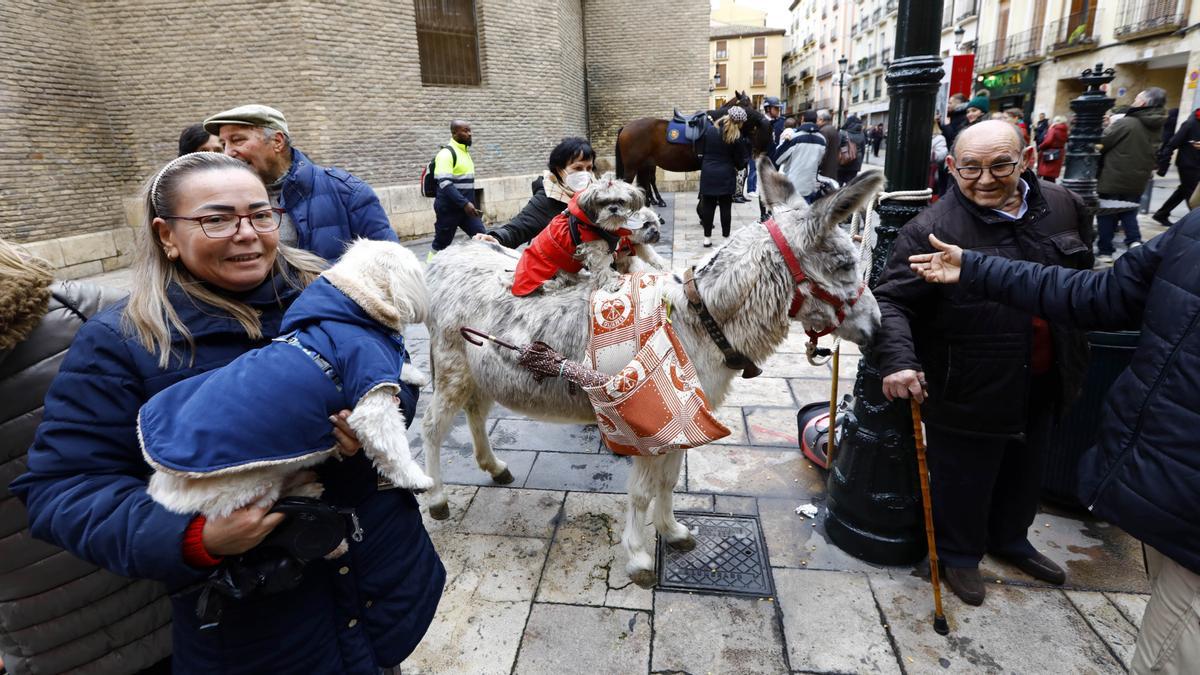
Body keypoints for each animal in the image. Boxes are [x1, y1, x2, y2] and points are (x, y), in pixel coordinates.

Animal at [140, 239, 432, 533]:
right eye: (418, 273)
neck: (356, 302)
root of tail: (162, 485)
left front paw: (412, 373)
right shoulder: (370, 395)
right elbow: (393, 448)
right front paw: (415, 479)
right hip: (251, 483)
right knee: (265, 501)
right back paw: (304, 490)